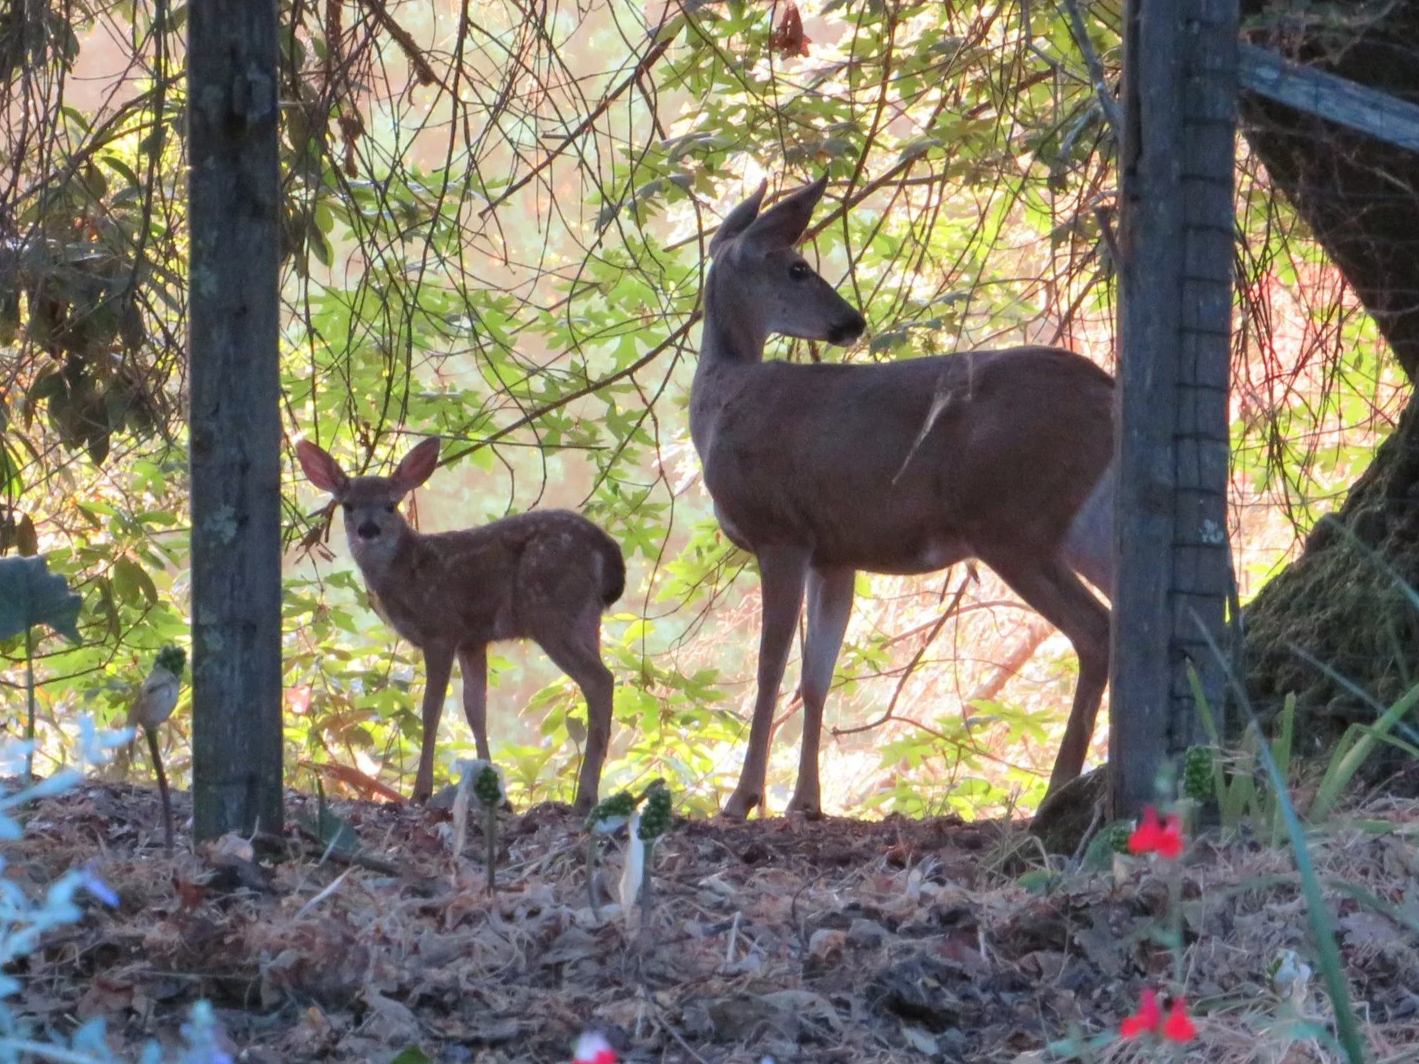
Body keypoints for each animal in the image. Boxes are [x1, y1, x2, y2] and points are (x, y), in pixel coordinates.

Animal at [296, 436, 625, 811]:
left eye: (391, 505)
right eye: (348, 505)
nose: (368, 529)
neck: (408, 572)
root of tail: (609, 553)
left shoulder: (441, 630)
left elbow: (431, 711)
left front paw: (421, 792)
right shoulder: (472, 640)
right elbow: (475, 710)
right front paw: (496, 794)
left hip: (552, 611)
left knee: (600, 680)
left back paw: (586, 796)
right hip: (586, 618)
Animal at [690, 173, 1116, 819]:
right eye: (797, 268)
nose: (852, 320)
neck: (722, 401)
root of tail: (1108, 389)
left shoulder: (779, 531)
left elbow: (769, 670)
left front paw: (743, 799)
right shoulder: (832, 553)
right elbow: (814, 678)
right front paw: (805, 803)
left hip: (1010, 519)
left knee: (1096, 629)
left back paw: (1059, 788)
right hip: (1074, 520)